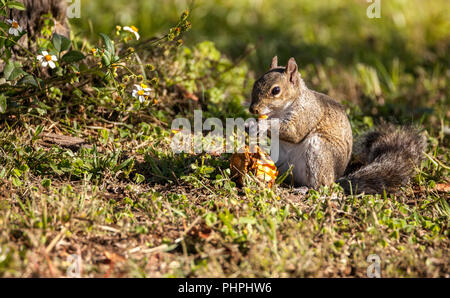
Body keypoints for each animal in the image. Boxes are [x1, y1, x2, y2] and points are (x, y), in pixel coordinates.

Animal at [251, 56, 428, 194]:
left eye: (276, 90)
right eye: (254, 84)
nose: (253, 109)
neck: (281, 110)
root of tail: (336, 179)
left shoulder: (308, 113)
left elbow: (294, 132)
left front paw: (262, 124)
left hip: (319, 151)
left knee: (322, 186)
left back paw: (305, 189)